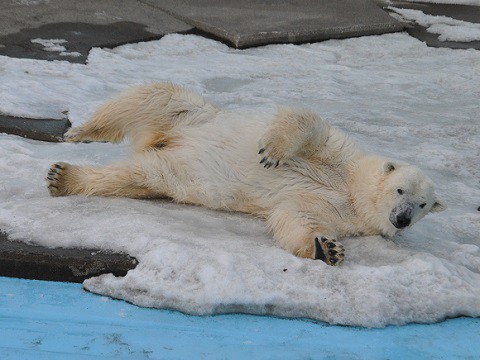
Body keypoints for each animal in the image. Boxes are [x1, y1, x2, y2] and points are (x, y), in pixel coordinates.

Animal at [46, 83, 446, 264]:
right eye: (401, 191)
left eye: (423, 205)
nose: (402, 219)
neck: (351, 187)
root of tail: (164, 141)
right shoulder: (342, 156)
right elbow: (309, 124)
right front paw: (271, 153)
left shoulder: (341, 212)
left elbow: (296, 215)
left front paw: (326, 248)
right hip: (191, 115)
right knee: (152, 98)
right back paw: (79, 132)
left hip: (173, 172)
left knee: (134, 176)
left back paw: (65, 179)